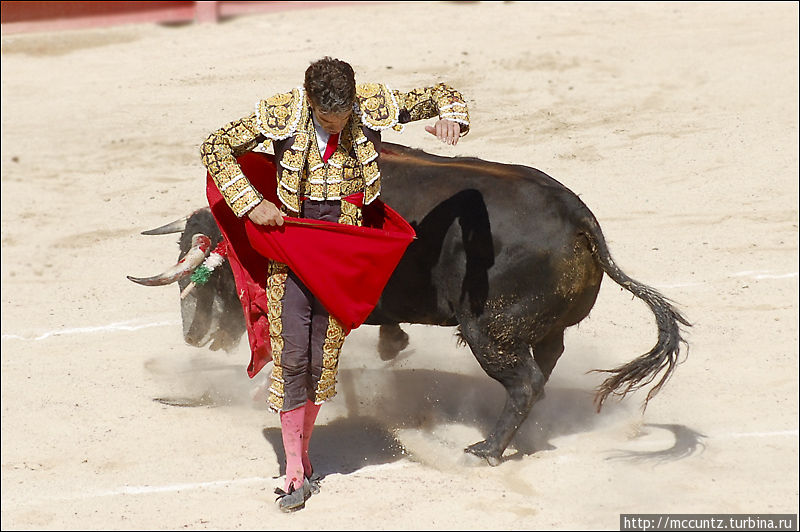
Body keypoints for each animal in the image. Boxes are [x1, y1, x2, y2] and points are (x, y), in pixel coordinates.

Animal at [130, 142, 688, 466]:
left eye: (213, 278)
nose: (192, 335)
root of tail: (579, 218)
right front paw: (390, 345)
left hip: (489, 331)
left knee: (525, 381)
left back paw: (486, 450)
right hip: (543, 330)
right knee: (544, 370)